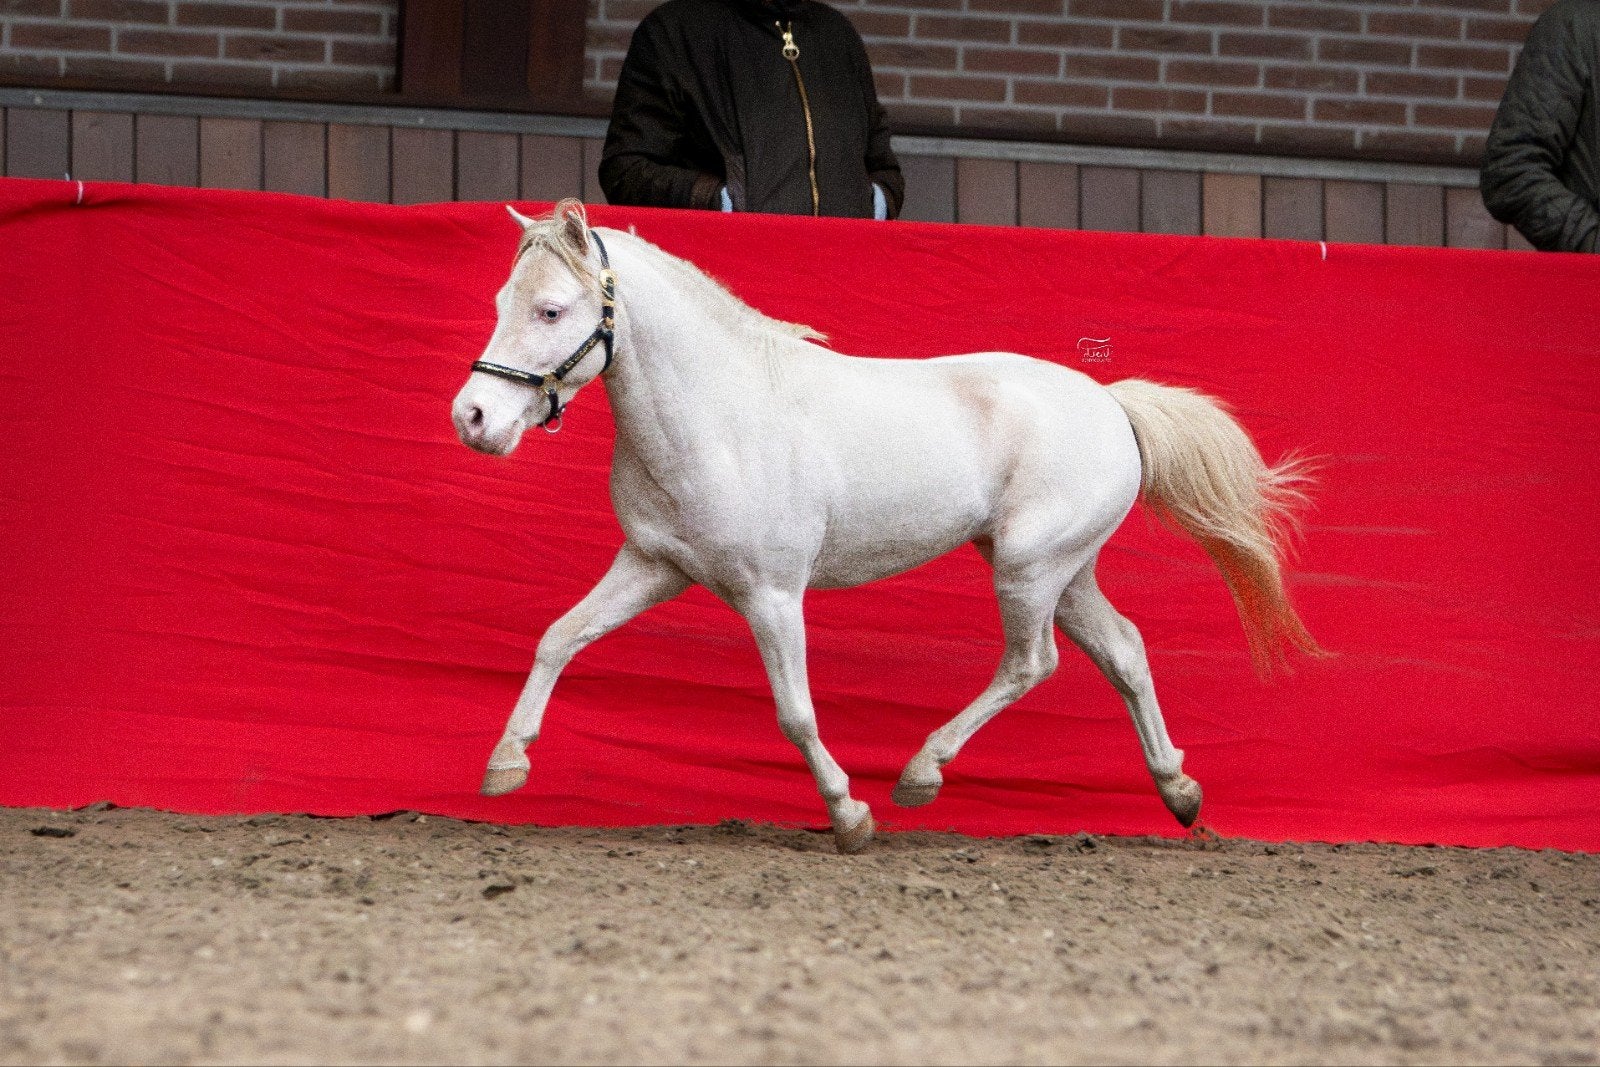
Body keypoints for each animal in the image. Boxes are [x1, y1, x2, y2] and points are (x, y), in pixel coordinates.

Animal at [450, 199, 1322, 854]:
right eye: (497, 304)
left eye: (551, 309)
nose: (474, 418)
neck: (722, 415)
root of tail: (1112, 402)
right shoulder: (651, 565)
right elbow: (559, 637)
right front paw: (505, 763)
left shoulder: (772, 593)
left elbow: (795, 711)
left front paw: (850, 815)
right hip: (1066, 573)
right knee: (1126, 651)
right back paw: (1179, 790)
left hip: (1029, 568)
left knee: (1031, 662)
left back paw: (920, 774)